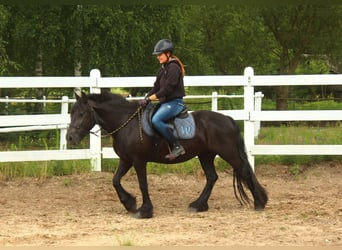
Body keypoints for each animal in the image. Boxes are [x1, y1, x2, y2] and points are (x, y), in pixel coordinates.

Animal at [66, 92, 268, 219]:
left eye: (82, 113)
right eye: (71, 113)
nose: (70, 138)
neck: (127, 123)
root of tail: (228, 119)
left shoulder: (138, 160)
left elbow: (143, 184)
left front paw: (144, 211)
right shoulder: (126, 160)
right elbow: (115, 181)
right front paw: (129, 203)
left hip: (229, 153)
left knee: (245, 172)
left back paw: (259, 202)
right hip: (206, 155)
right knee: (212, 177)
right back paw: (198, 205)